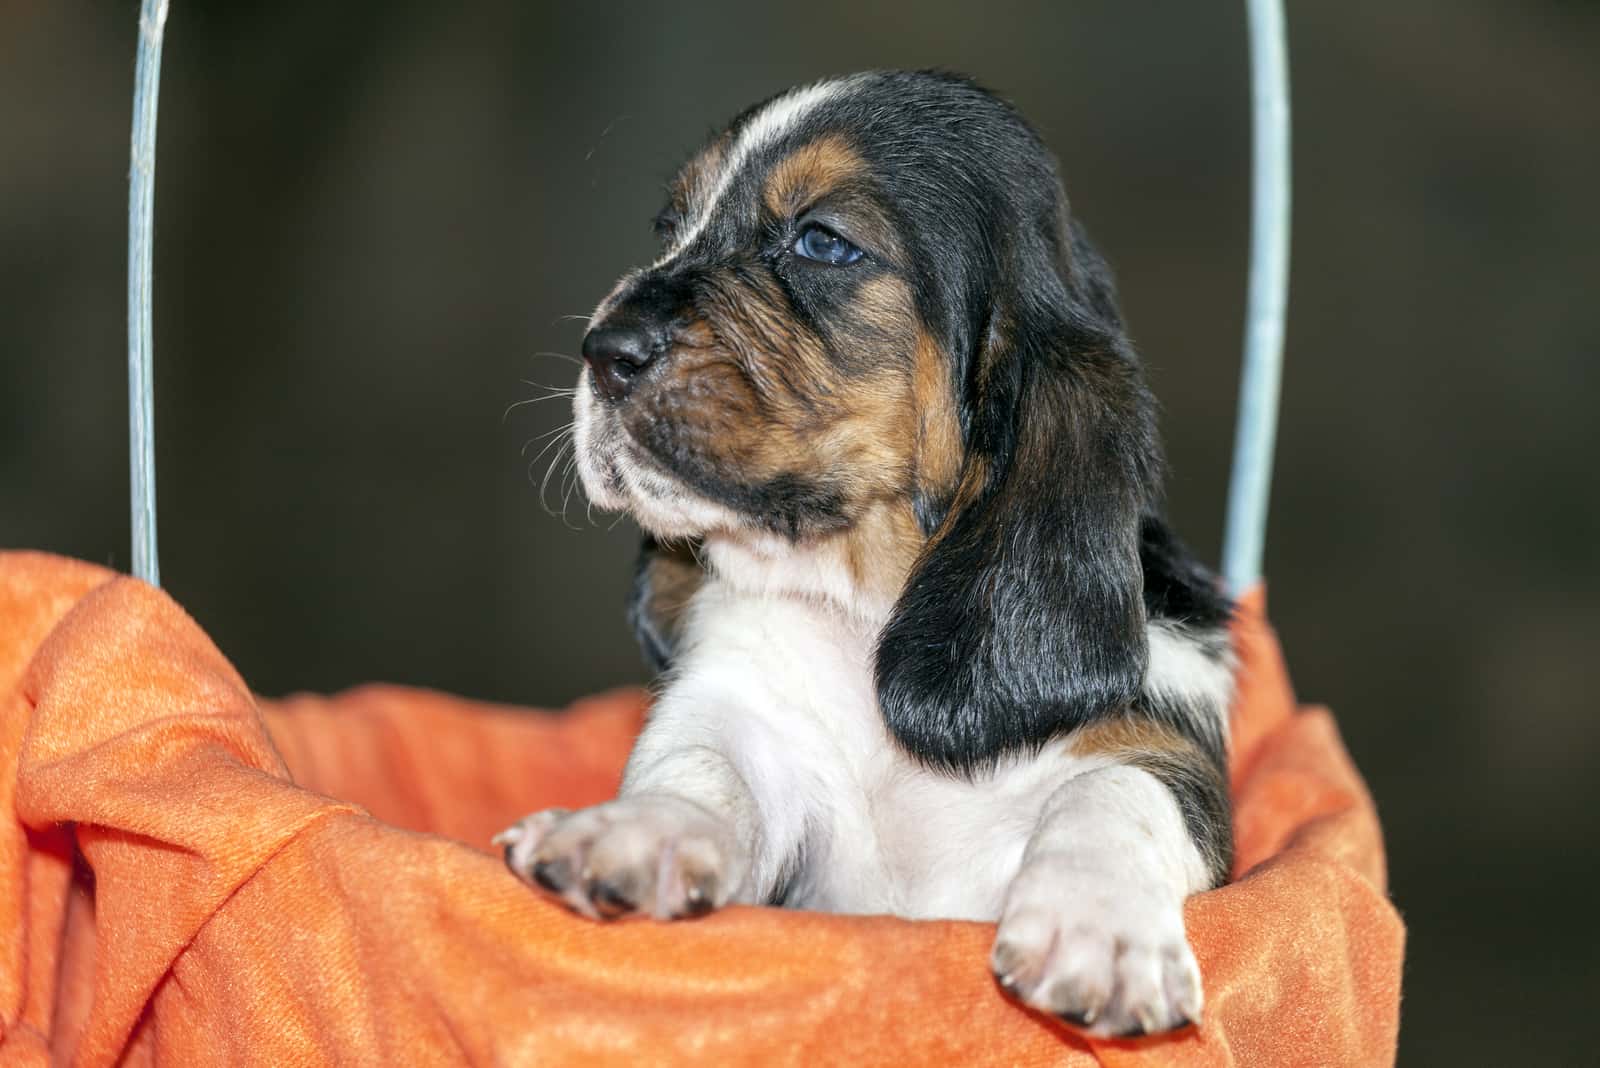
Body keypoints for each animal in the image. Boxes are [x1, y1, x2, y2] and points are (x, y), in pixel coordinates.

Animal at [499, 70, 1235, 1036]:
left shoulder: (1161, 737)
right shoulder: (746, 720)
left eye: (822, 242)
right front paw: (625, 832)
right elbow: (698, 766)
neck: (862, 599)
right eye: (670, 227)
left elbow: (1117, 793)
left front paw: (1098, 929)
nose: (601, 350)